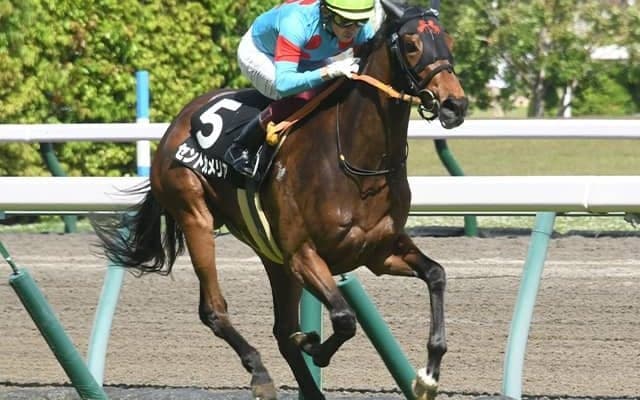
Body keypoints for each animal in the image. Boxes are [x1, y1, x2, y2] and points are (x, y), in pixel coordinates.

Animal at [95, 0, 467, 399]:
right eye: (411, 45)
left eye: (448, 41)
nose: (455, 105)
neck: (358, 163)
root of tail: (176, 124)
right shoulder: (302, 253)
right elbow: (344, 318)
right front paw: (314, 345)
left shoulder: (378, 251)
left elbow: (436, 274)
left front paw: (427, 375)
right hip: (196, 215)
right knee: (214, 310)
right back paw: (260, 373)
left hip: (273, 256)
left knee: (281, 330)